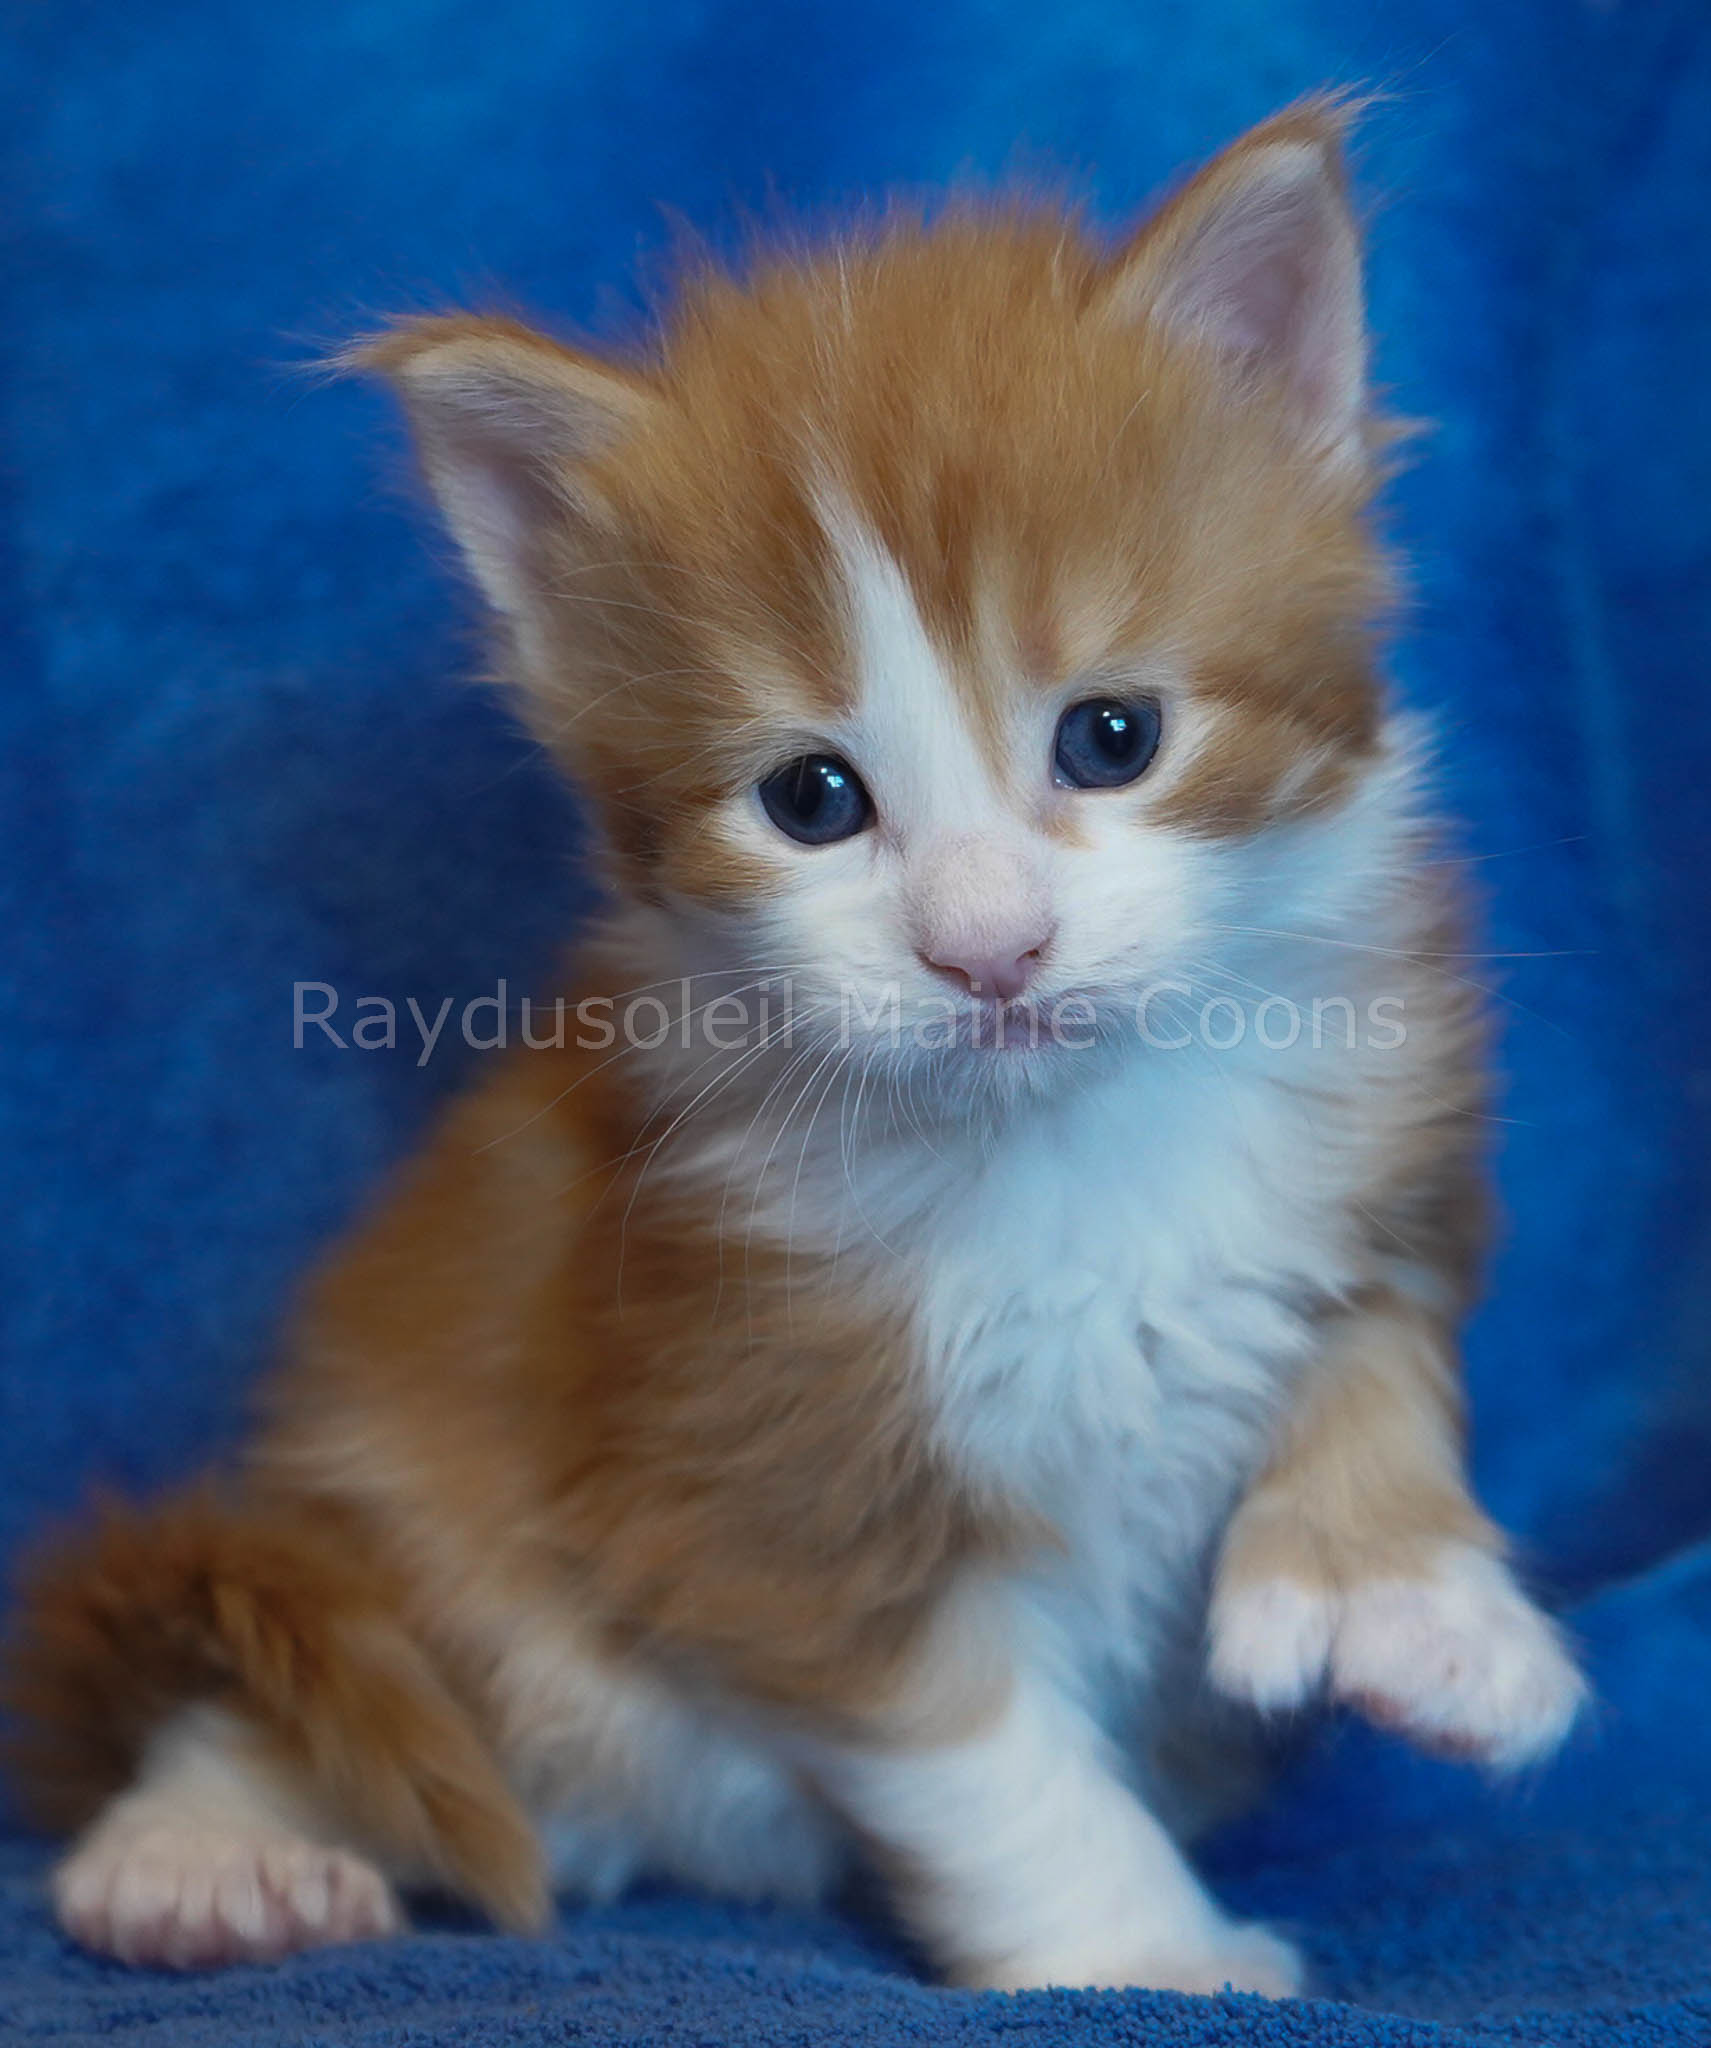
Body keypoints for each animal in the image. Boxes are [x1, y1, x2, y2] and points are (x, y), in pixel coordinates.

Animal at [6, 103, 1590, 1990]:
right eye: (812, 798)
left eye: (1110, 735)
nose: (987, 948)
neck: (1066, 1151)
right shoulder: (748, 1458)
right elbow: (992, 1761)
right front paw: (1153, 1957)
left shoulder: (1392, 1154)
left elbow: (1380, 1343)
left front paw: (1410, 1598)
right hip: (433, 1517)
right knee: (348, 1686)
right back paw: (206, 1855)